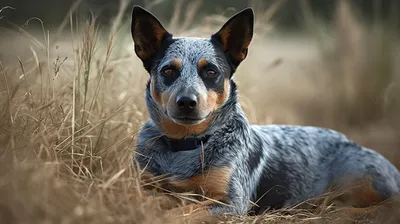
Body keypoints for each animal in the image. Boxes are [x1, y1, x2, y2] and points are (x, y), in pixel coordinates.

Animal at [131, 5, 400, 217]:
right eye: (168, 71)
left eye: (211, 71)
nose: (187, 101)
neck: (185, 145)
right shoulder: (142, 183)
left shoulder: (232, 203)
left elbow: (186, 209)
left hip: (358, 177)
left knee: (386, 204)